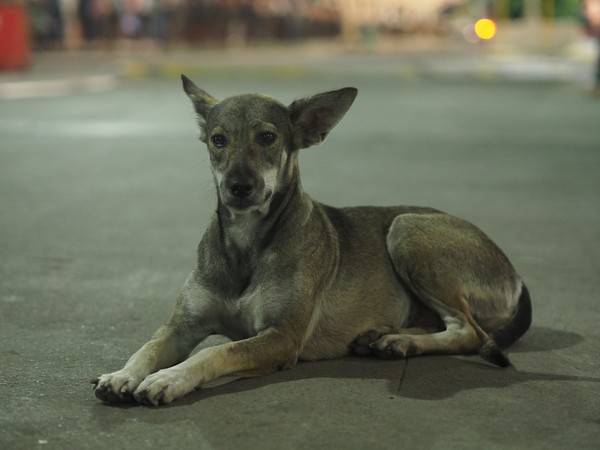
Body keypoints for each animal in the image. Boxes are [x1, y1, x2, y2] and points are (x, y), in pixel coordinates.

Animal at [91, 75, 532, 406]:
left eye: (267, 137)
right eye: (218, 139)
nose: (239, 187)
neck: (247, 244)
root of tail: (515, 275)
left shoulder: (281, 338)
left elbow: (215, 351)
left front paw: (169, 379)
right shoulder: (182, 325)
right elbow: (147, 347)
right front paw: (122, 374)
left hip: (406, 230)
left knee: (470, 332)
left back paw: (400, 342)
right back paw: (384, 337)